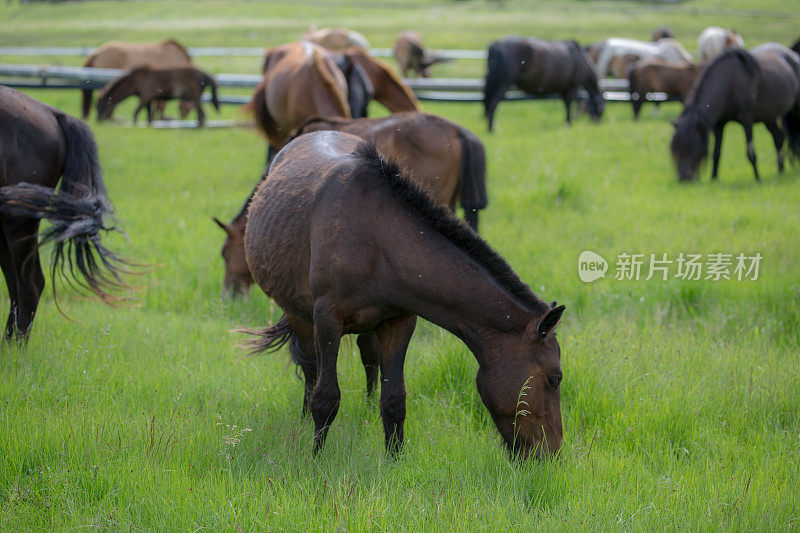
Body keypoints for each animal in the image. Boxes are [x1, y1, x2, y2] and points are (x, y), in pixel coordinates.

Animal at [241, 131, 564, 460]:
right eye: (554, 379)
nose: (551, 453)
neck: (377, 239)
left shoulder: (399, 322)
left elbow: (394, 399)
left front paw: (393, 459)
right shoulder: (327, 319)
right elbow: (326, 396)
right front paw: (315, 457)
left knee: (365, 359)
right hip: (299, 315)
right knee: (310, 369)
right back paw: (305, 420)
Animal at [668, 44, 800, 181]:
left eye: (693, 147)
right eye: (675, 150)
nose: (683, 178)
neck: (729, 82)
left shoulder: (747, 119)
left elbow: (751, 152)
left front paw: (758, 179)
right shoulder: (719, 125)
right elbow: (716, 153)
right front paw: (713, 179)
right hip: (769, 118)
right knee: (778, 138)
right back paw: (780, 171)